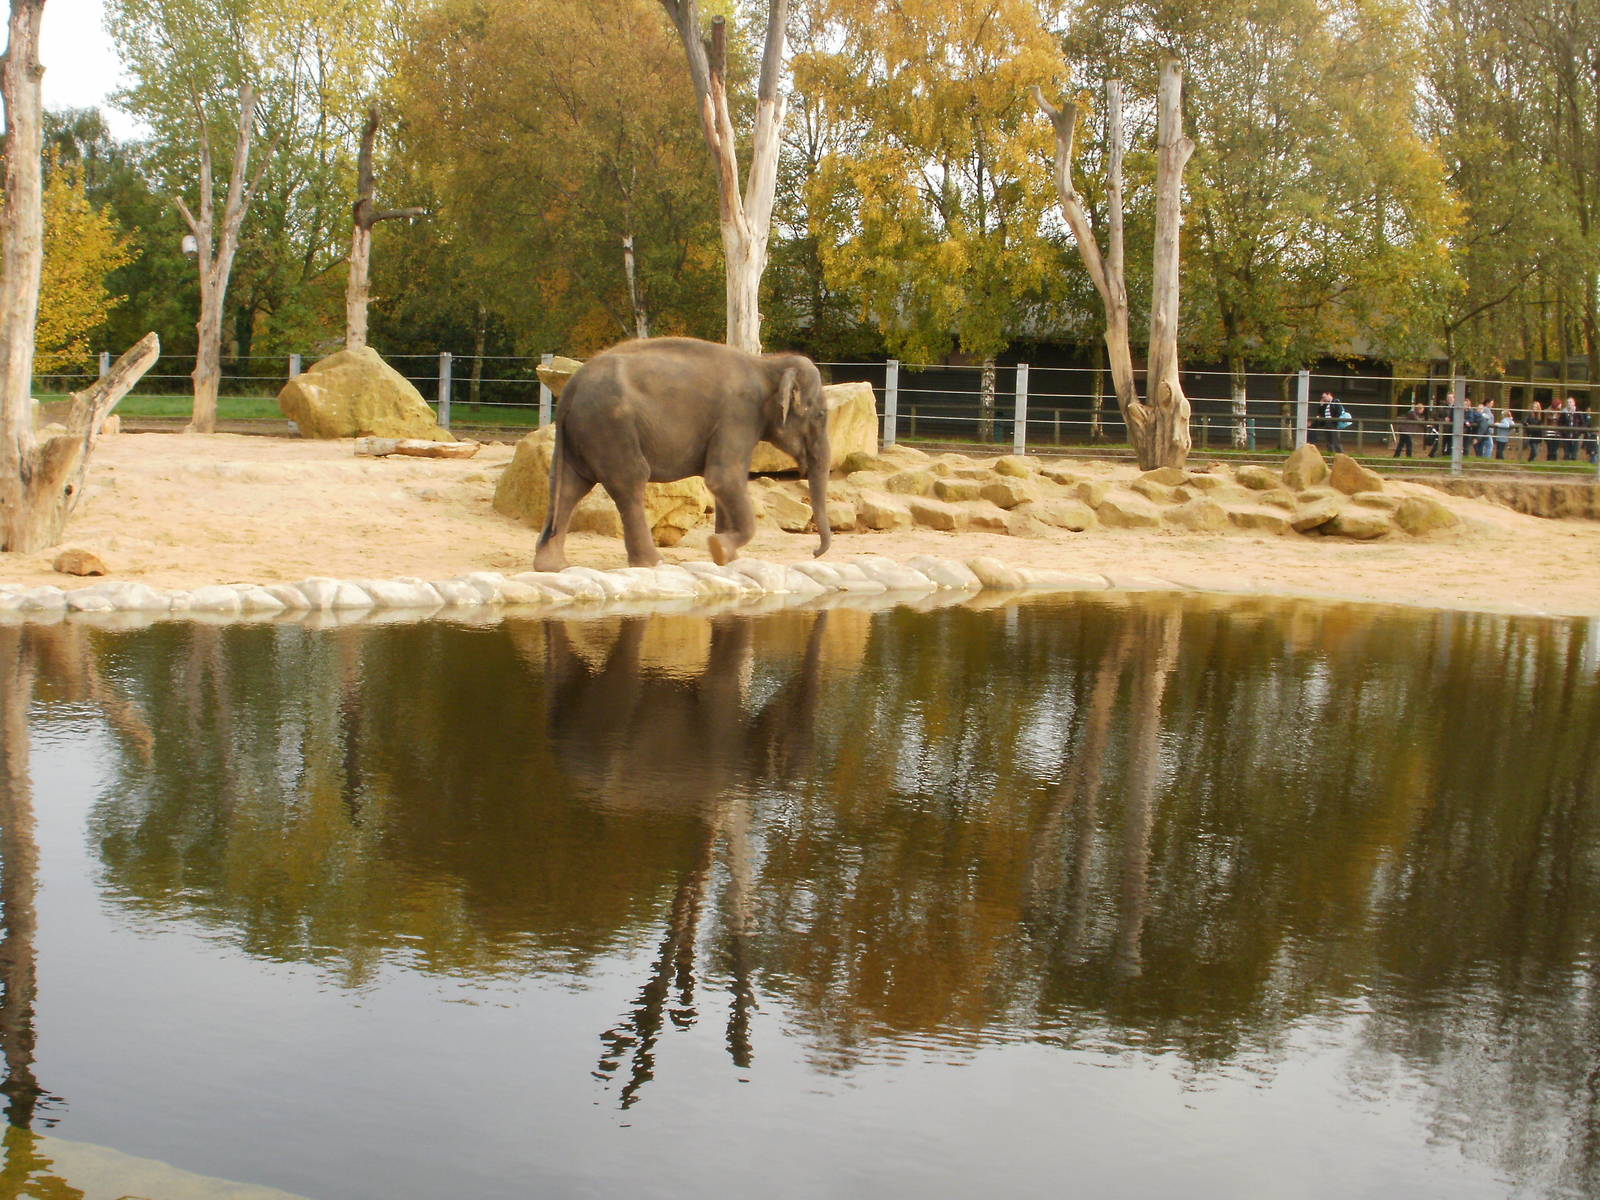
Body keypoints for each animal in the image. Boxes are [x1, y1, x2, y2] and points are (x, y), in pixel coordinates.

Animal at [531, 337, 832, 570]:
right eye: (820, 414)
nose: (814, 553)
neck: (768, 366)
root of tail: (570, 387)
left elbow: (723, 484)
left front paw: (726, 558)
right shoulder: (738, 416)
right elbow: (723, 478)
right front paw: (720, 549)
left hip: (583, 434)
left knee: (569, 487)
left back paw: (553, 566)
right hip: (611, 427)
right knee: (630, 481)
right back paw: (653, 563)